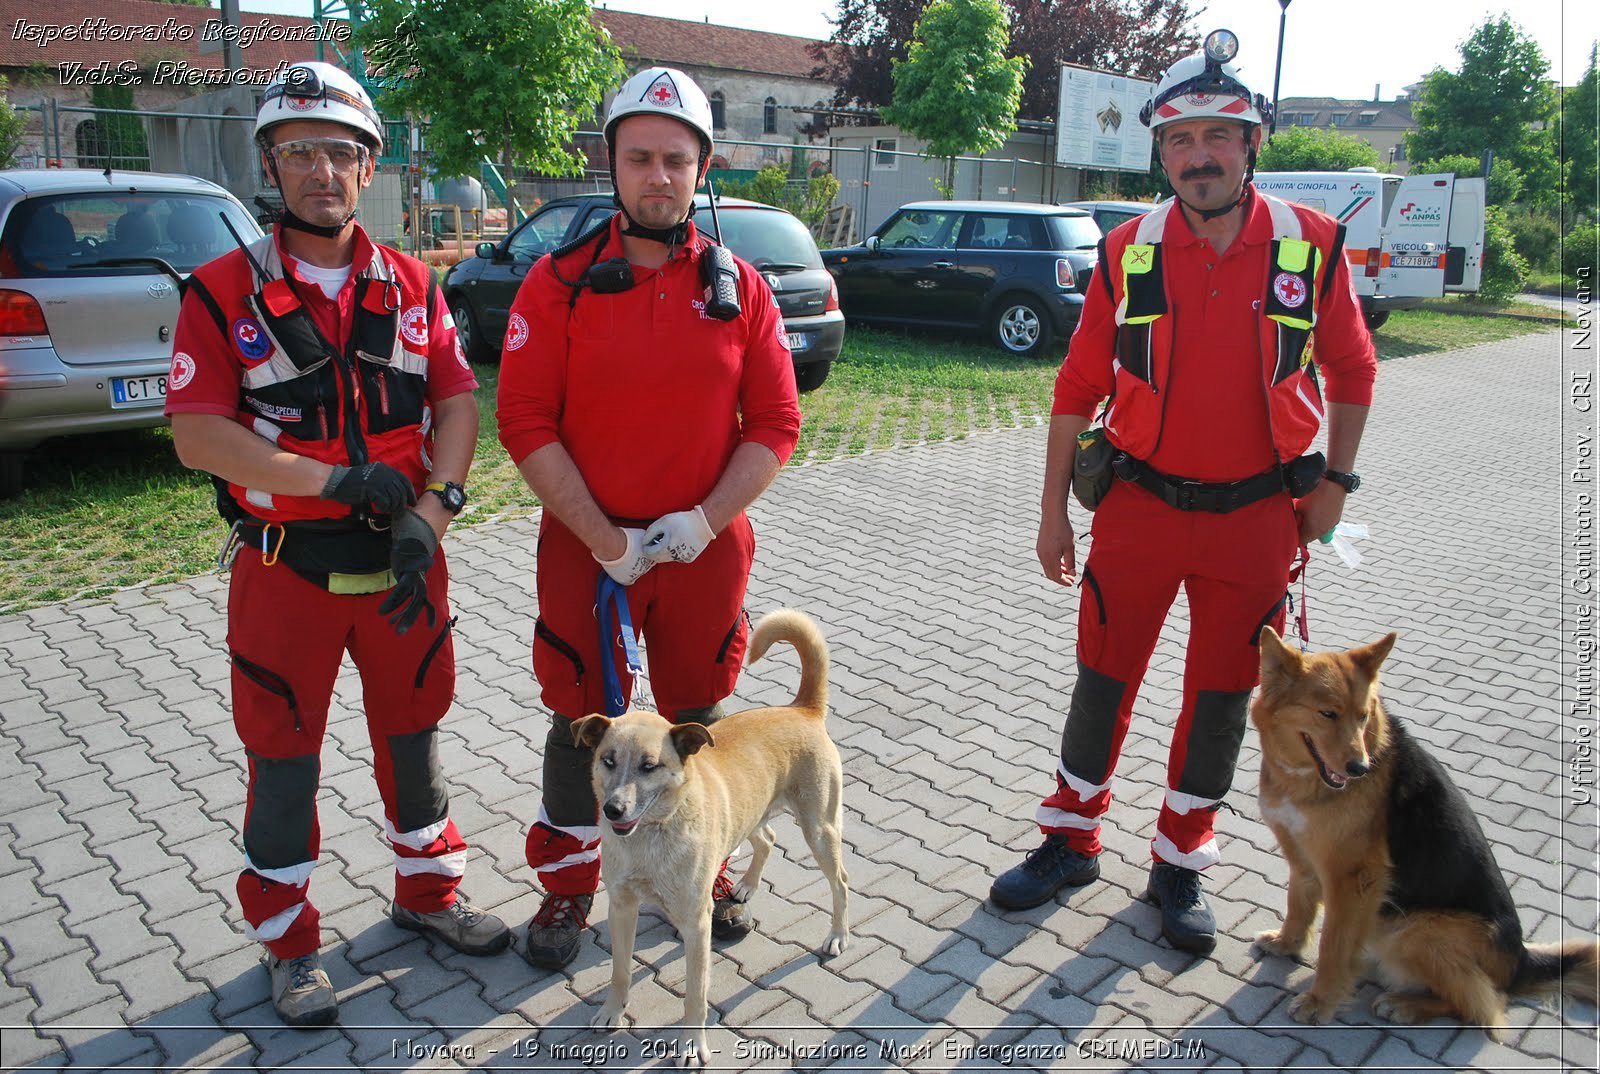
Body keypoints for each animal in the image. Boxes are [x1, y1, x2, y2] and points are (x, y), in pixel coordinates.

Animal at [572, 608, 851, 1069]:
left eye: (649, 765)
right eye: (607, 761)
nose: (613, 811)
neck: (652, 838)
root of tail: (802, 709)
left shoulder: (696, 923)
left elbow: (695, 997)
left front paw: (691, 1046)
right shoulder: (622, 906)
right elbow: (619, 970)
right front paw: (612, 1010)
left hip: (819, 829)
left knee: (841, 883)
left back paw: (838, 935)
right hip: (752, 813)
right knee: (768, 838)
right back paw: (745, 886)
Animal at [1254, 627, 1593, 1037]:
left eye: (1362, 716)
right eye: (1328, 714)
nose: (1359, 769)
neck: (1303, 779)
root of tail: (1520, 962)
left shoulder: (1351, 879)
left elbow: (1333, 945)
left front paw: (1321, 1000)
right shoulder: (1302, 857)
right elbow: (1298, 905)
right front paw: (1287, 944)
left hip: (1412, 931)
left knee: (1484, 1004)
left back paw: (1406, 1005)